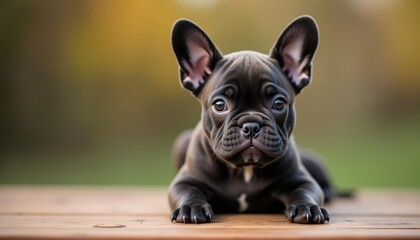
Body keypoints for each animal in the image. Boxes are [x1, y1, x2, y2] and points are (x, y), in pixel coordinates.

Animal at [167, 15, 332, 224]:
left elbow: (305, 191)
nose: (251, 125)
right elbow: (189, 191)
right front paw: (191, 207)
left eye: (279, 103)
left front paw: (308, 207)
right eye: (219, 105)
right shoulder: (184, 181)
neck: (245, 171)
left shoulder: (302, 180)